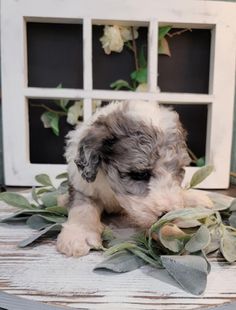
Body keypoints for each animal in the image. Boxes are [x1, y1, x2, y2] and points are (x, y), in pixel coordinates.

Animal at [56, 100, 212, 256]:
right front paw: (78, 235)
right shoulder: (83, 186)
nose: (166, 213)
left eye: (178, 171)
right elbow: (82, 207)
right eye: (140, 174)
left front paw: (171, 234)